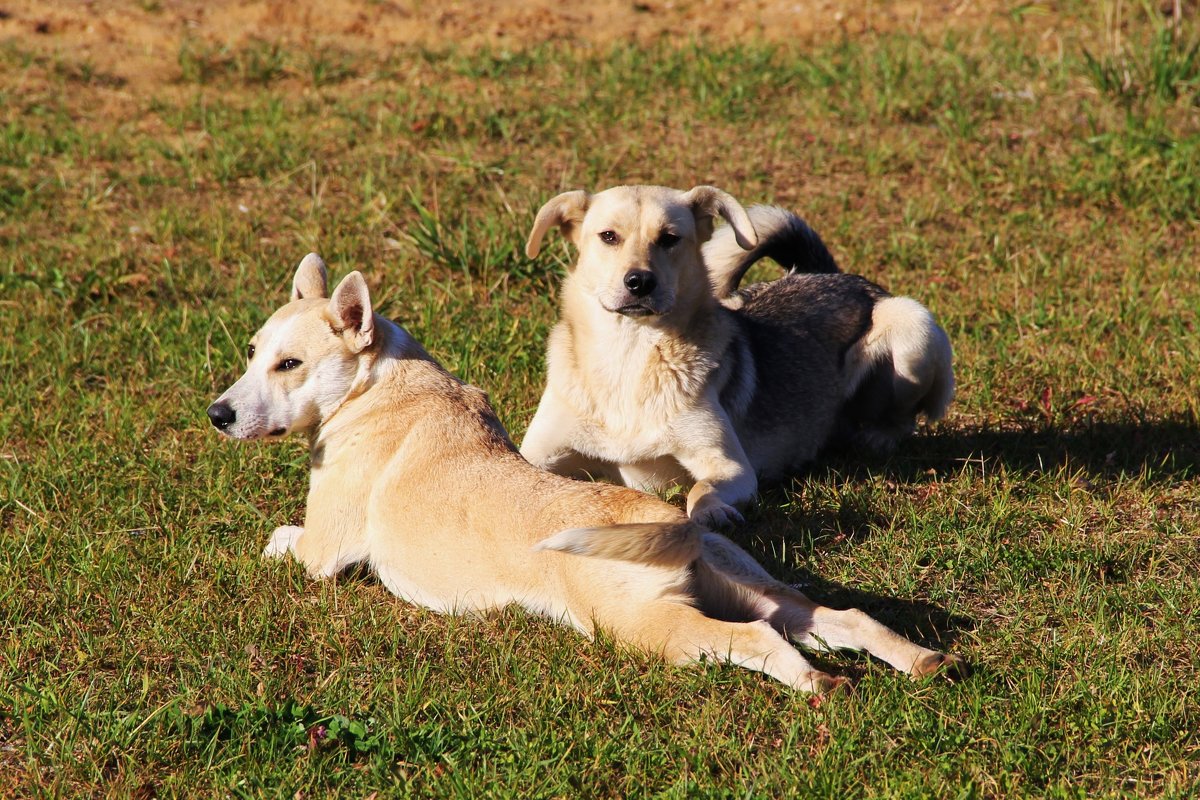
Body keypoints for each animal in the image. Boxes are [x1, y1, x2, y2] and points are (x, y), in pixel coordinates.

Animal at [206, 256, 964, 695]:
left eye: (289, 365)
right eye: (251, 352)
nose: (217, 414)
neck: (380, 385)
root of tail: (670, 522)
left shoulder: (320, 554)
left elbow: (278, 539)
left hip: (653, 629)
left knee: (752, 641)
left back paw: (817, 687)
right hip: (752, 586)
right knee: (835, 617)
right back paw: (924, 662)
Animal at [520, 184, 950, 527]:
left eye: (670, 238)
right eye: (608, 236)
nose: (639, 282)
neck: (628, 355)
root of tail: (828, 274)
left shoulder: (730, 467)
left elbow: (701, 490)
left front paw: (711, 512)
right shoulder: (533, 454)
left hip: (911, 324)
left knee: (904, 420)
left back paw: (872, 438)